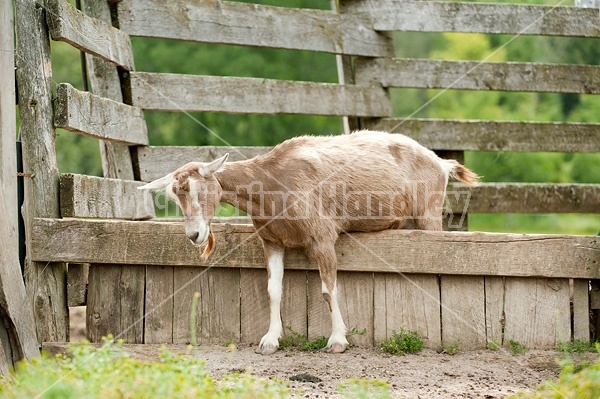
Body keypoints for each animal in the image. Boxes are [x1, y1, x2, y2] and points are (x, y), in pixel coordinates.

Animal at [138, 131, 480, 356]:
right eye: (173, 197)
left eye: (200, 190)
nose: (194, 235)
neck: (272, 181)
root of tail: (440, 163)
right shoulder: (271, 241)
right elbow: (273, 290)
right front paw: (270, 340)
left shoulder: (322, 237)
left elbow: (328, 290)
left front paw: (337, 341)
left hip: (429, 214)